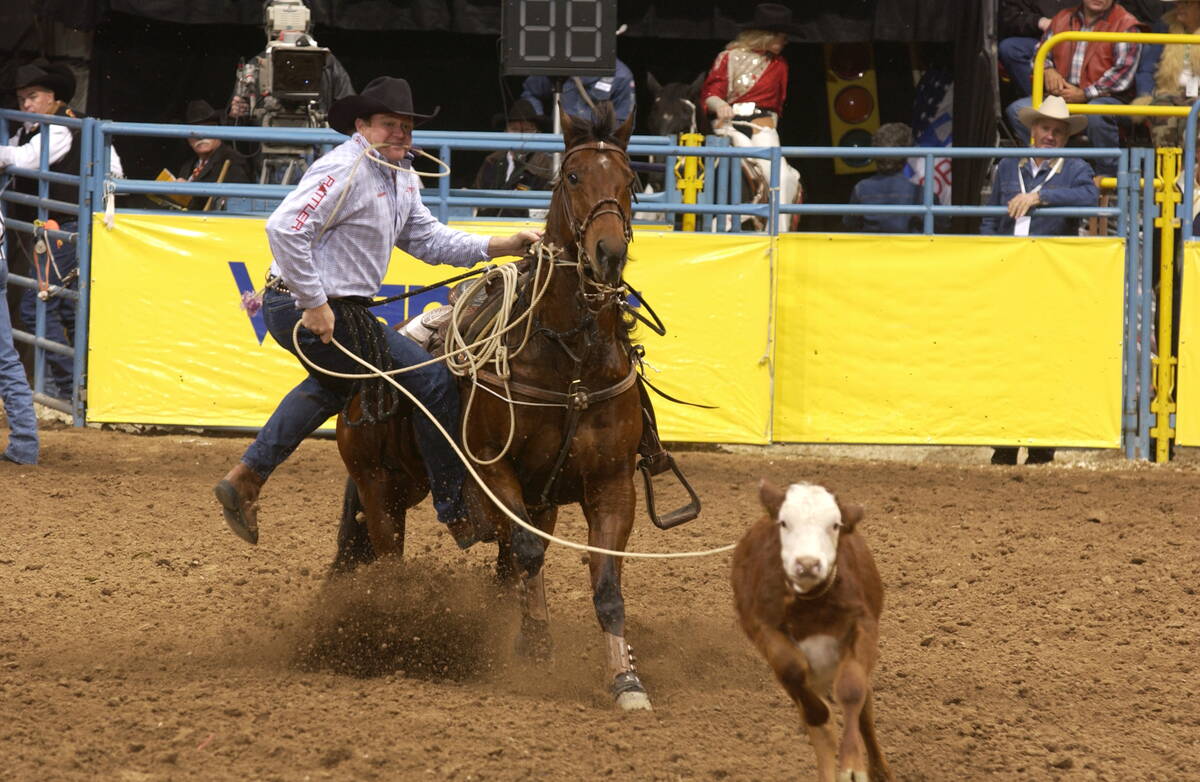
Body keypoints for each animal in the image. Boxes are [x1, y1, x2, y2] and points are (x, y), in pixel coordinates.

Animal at [333, 102, 652, 710]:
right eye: (572, 177)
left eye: (631, 181)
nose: (608, 255)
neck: (569, 361)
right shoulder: (492, 469)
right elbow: (526, 552)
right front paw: (537, 649)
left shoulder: (611, 483)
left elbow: (605, 579)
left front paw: (626, 681)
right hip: (378, 486)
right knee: (390, 559)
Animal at [729, 479, 892, 782]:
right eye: (784, 522)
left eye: (835, 525)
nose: (807, 564)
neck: (811, 606)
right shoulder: (764, 627)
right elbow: (795, 675)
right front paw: (820, 714)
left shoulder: (862, 627)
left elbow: (852, 690)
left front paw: (852, 766)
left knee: (864, 713)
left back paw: (878, 769)